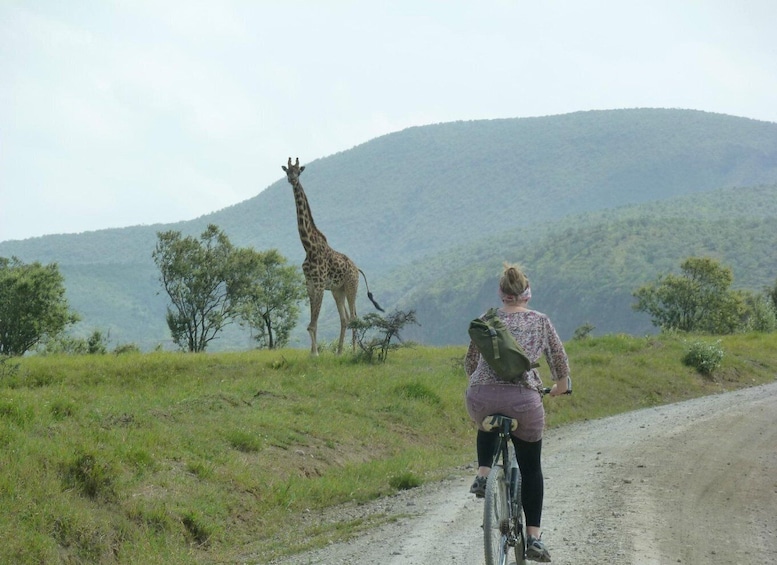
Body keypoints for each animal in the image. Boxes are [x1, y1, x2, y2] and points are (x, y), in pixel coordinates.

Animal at [282, 156, 384, 354]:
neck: (308, 246)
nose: (292, 180)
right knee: (345, 318)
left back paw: (353, 350)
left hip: (352, 287)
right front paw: (313, 352)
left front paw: (315, 353)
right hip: (338, 290)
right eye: (287, 171)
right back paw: (339, 351)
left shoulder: (320, 283)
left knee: (354, 317)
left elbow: (313, 323)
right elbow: (311, 323)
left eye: (298, 171)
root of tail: (357, 268)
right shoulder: (310, 283)